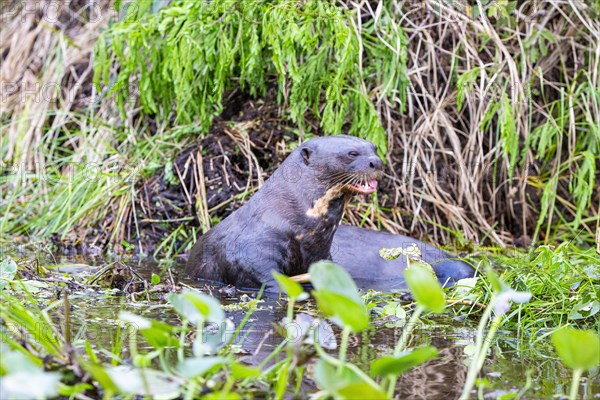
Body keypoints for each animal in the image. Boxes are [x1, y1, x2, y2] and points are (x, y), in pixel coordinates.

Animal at [188, 134, 474, 290]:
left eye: (374, 148)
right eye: (351, 153)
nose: (377, 162)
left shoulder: (321, 254)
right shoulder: (251, 251)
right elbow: (262, 275)